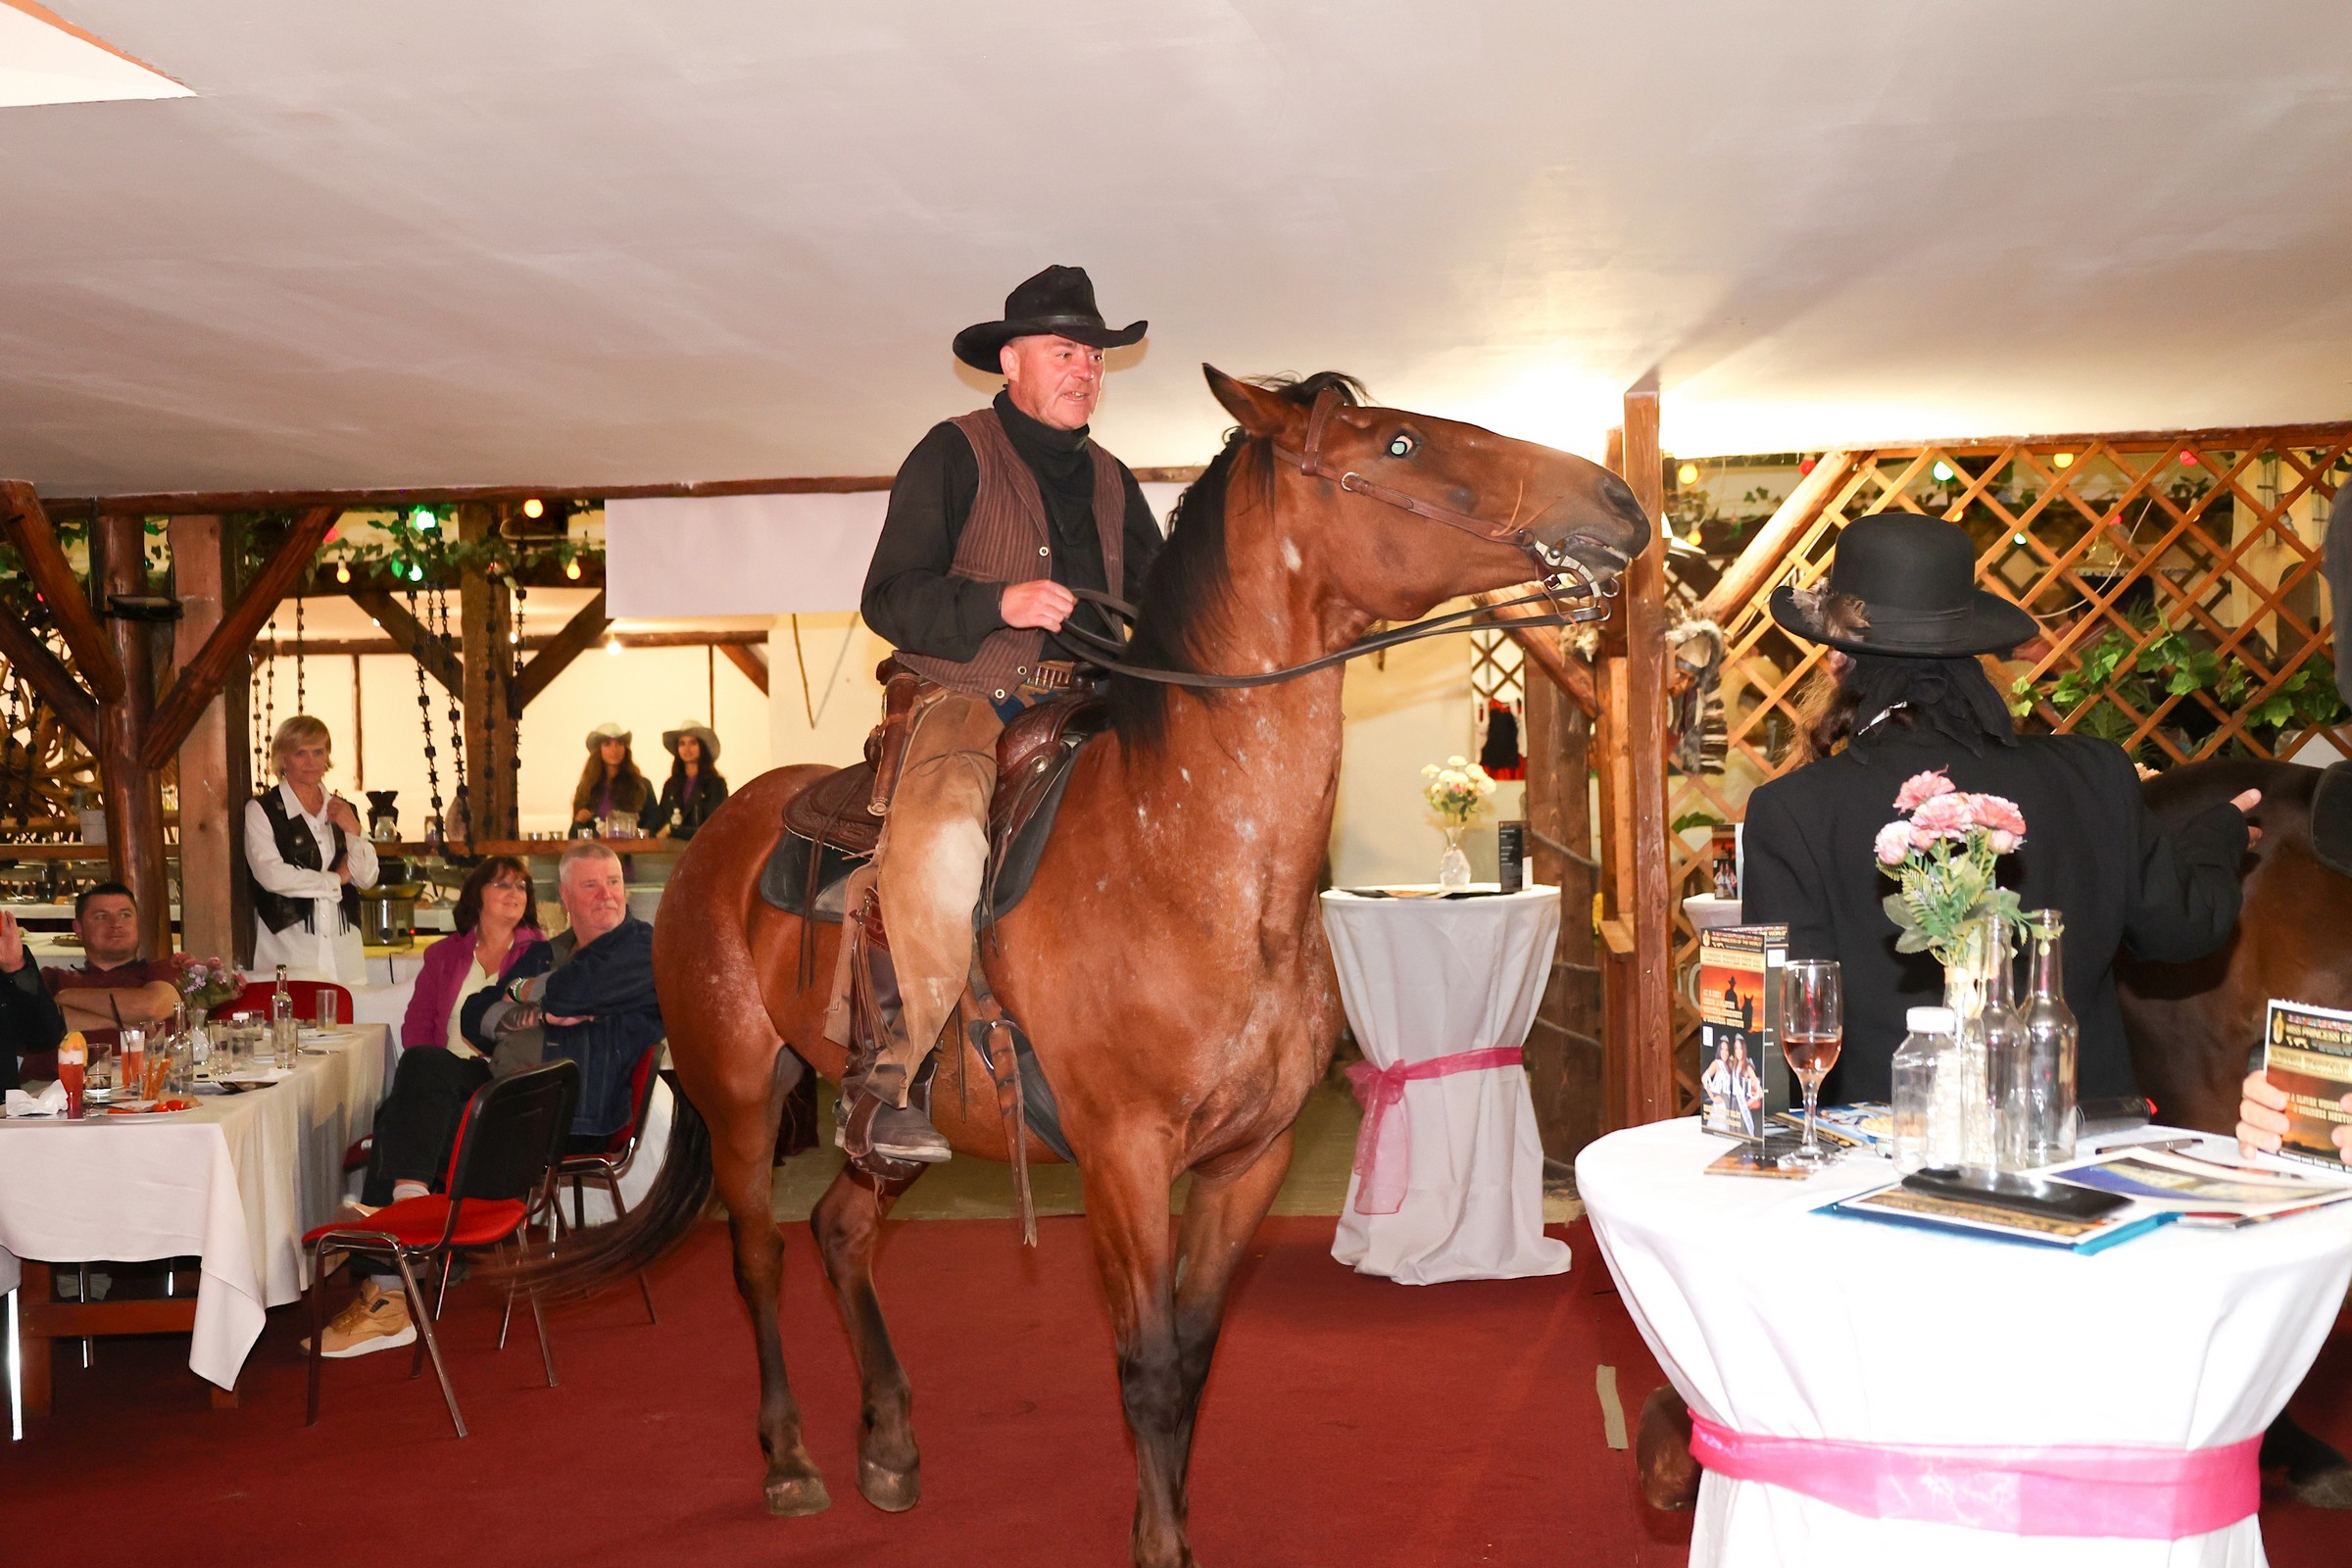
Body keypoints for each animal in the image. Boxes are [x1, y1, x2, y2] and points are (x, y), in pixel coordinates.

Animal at [529, 365, 1652, 1568]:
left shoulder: (1248, 1160)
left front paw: (1160, 1518)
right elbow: (1146, 1366)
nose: (1620, 504)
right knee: (756, 1257)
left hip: (896, 1125)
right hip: (741, 1093)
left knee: (840, 1231)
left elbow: (1192, 1359)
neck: (1194, 856)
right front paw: (1159, 1543)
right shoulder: (1125, 1159)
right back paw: (789, 1459)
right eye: (1397, 443)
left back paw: (891, 1444)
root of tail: (717, 839)